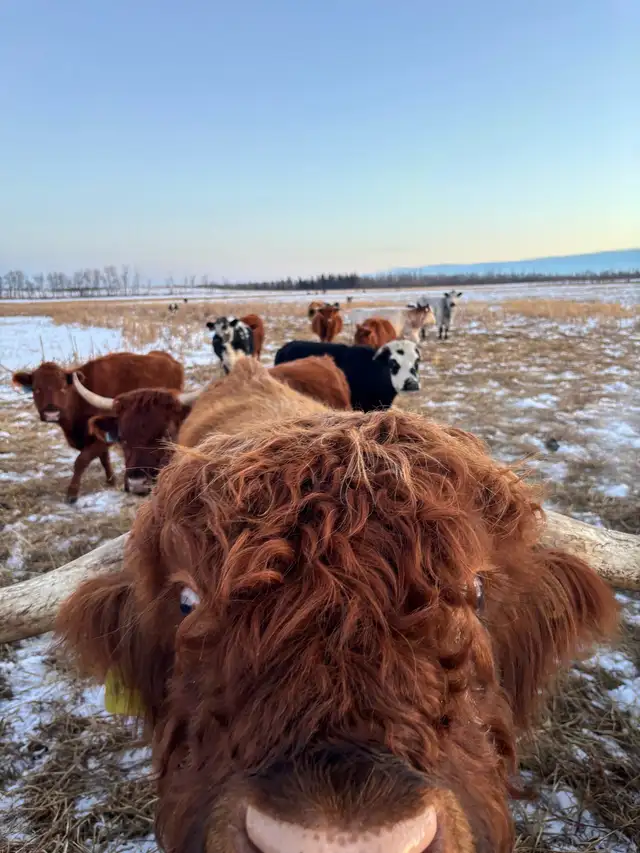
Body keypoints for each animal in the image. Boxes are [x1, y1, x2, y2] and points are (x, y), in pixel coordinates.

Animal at [11, 351, 183, 503]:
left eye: (62, 388)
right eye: (36, 389)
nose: (51, 413)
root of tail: (170, 361)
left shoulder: (102, 439)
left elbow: (81, 461)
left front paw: (72, 494)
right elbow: (104, 458)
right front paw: (112, 480)